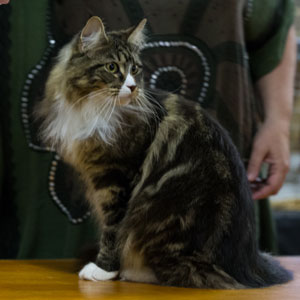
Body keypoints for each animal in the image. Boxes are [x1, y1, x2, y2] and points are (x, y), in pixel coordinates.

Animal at [34, 16, 290, 288]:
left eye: (135, 69)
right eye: (112, 67)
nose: (132, 87)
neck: (95, 108)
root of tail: (248, 263)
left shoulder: (117, 179)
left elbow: (113, 231)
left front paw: (103, 270)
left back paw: (133, 272)